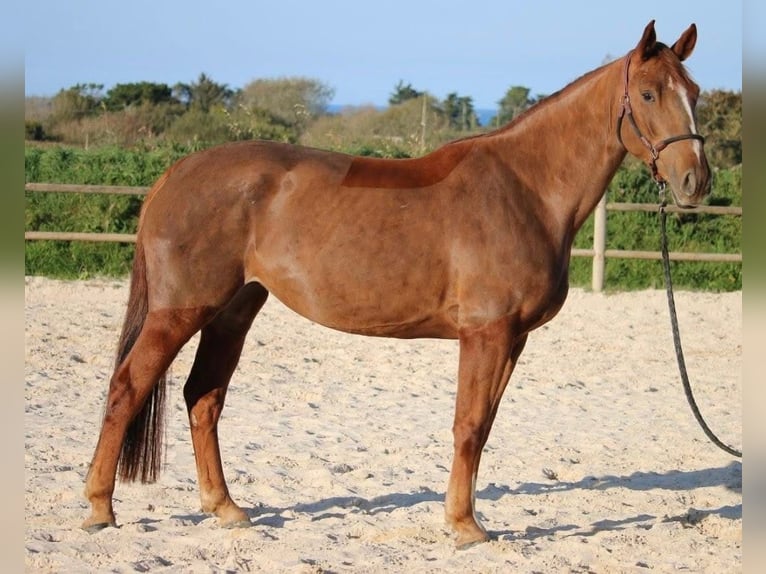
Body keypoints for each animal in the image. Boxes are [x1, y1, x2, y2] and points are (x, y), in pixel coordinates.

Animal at [82, 20, 710, 548]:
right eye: (649, 95)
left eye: (695, 92)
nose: (695, 181)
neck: (525, 189)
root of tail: (174, 174)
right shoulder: (486, 334)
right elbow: (468, 425)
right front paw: (464, 526)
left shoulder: (513, 339)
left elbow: (483, 428)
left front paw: (464, 517)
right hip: (180, 310)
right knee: (127, 388)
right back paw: (99, 508)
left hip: (234, 311)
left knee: (203, 397)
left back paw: (225, 508)